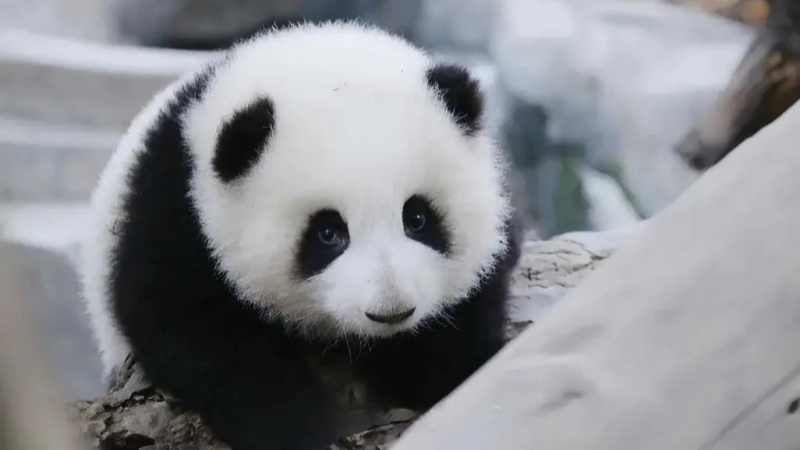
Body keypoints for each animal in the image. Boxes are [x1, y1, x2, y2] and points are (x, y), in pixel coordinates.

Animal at [80, 21, 521, 450]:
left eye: (416, 217)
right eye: (327, 232)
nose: (392, 310)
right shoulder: (177, 209)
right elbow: (192, 328)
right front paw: (295, 424)